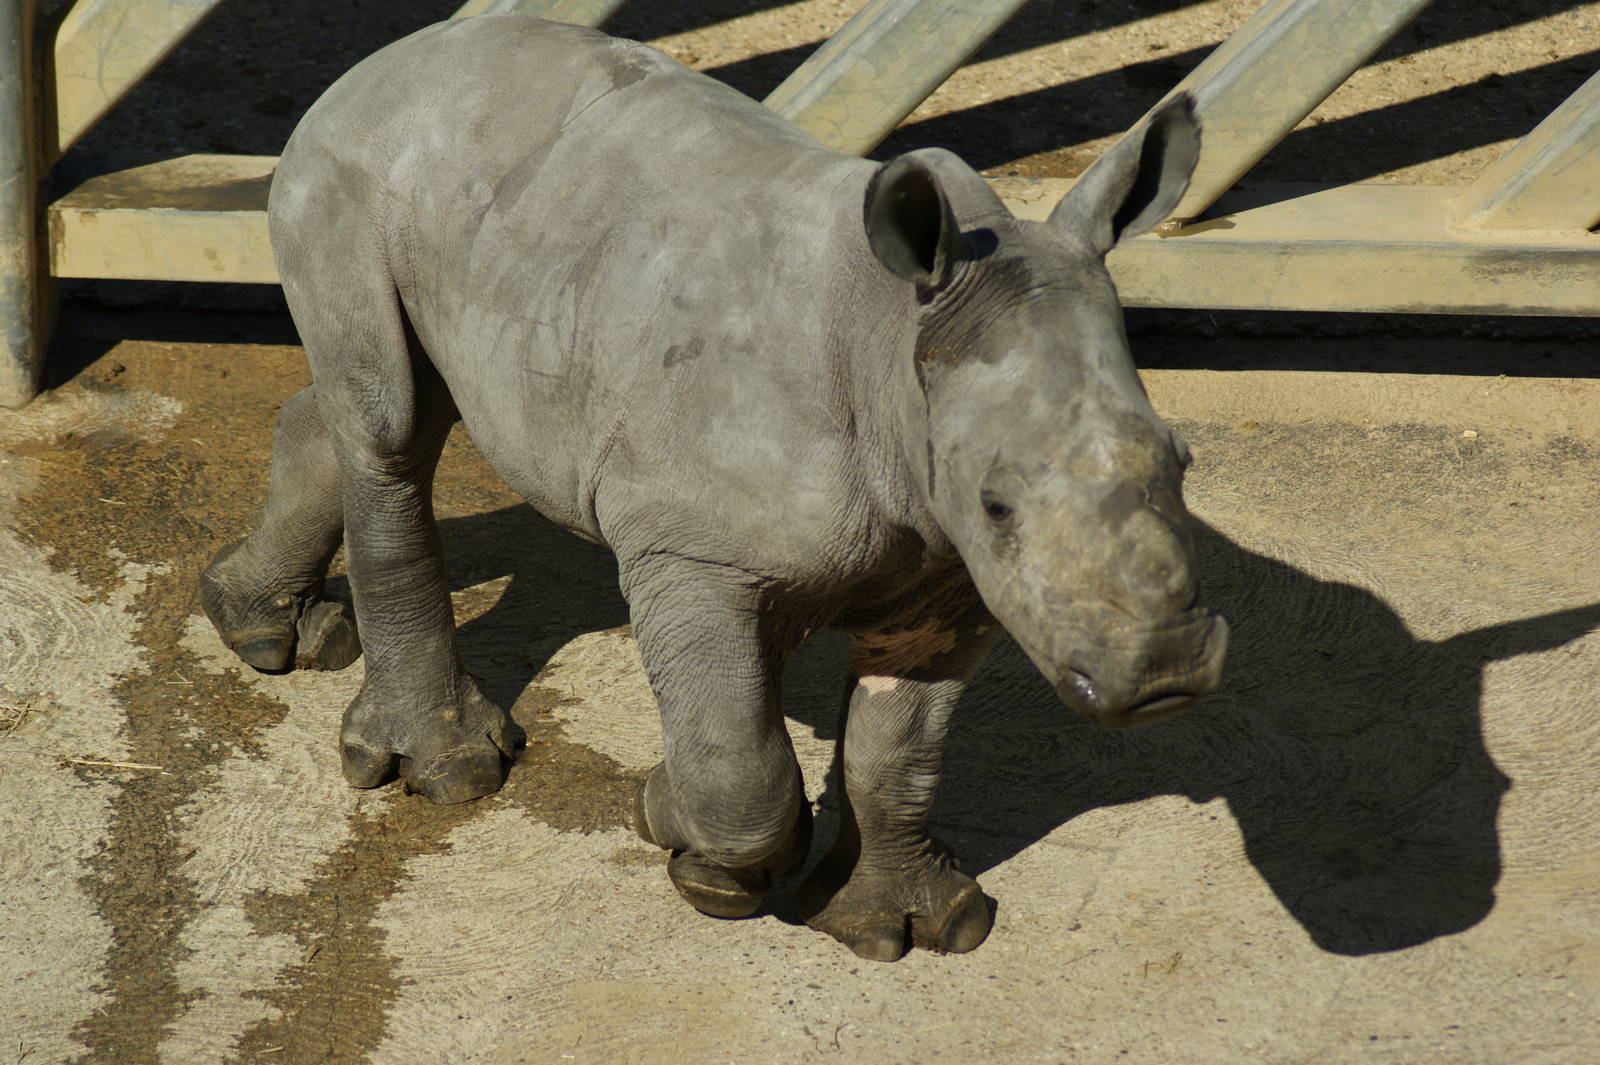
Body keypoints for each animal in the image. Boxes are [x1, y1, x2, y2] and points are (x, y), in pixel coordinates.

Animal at [200, 16, 1227, 960]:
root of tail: (382, 60)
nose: (1163, 673)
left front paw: (915, 928)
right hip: (351, 171)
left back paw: (261, 631)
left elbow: (898, 750)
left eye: (1181, 463)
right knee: (392, 427)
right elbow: (739, 762)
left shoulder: (952, 573)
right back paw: (448, 772)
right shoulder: (690, 548)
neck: (896, 342)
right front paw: (687, 841)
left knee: (403, 402)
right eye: (998, 503)